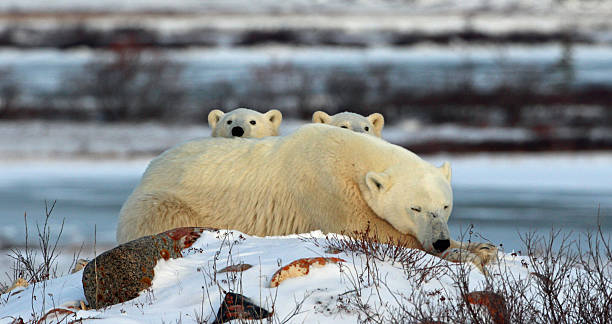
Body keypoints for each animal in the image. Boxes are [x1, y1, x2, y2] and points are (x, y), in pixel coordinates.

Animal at [116, 124, 498, 264]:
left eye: (444, 206)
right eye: (415, 208)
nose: (441, 241)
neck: (351, 158)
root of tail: (148, 169)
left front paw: (482, 247)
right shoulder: (325, 189)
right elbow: (374, 232)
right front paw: (470, 253)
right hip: (162, 202)